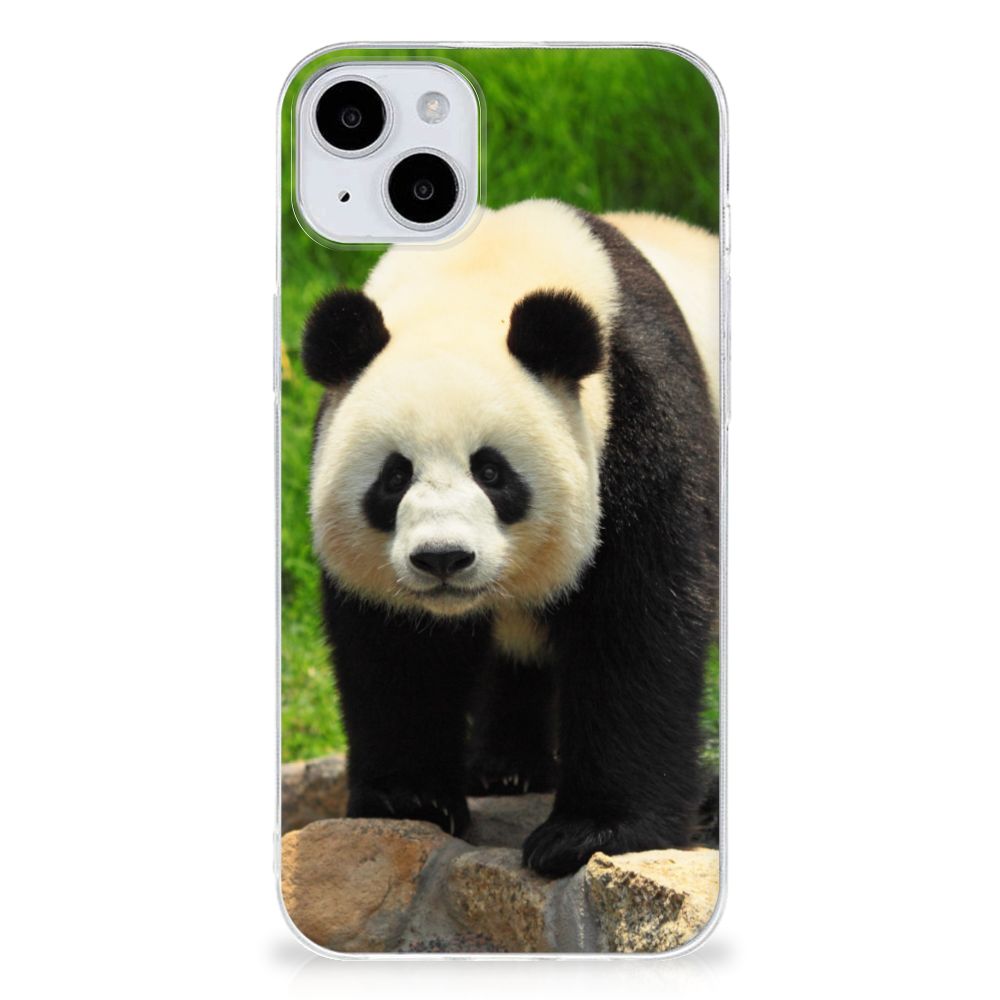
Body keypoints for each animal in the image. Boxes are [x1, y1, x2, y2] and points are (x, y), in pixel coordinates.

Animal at [302, 199, 719, 877]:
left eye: (492, 472)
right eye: (394, 476)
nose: (443, 558)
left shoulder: (641, 419)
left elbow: (638, 623)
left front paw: (592, 833)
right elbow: (397, 648)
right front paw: (408, 799)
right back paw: (505, 769)